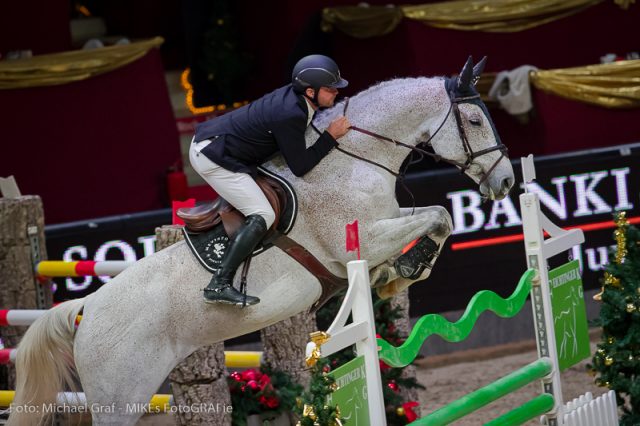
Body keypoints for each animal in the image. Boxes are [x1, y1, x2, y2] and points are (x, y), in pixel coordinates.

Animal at [10, 57, 516, 426]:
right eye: (475, 119)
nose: (507, 182)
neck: (352, 161)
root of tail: (86, 309)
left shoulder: (386, 221)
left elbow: (439, 218)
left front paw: (399, 273)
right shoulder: (362, 238)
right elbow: (438, 214)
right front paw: (402, 271)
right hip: (120, 398)